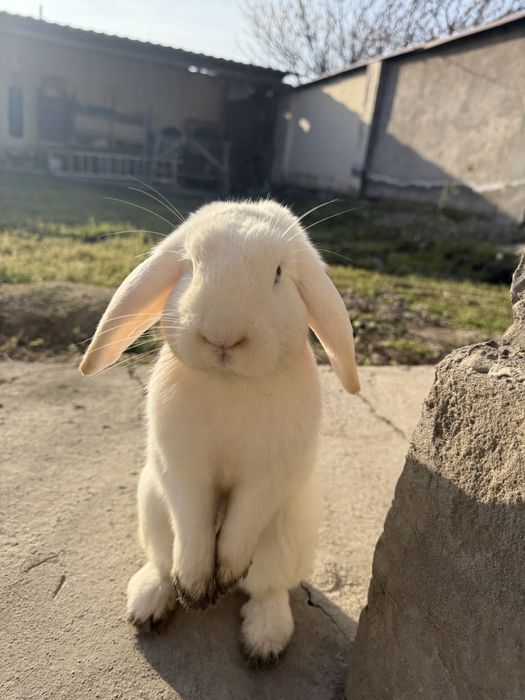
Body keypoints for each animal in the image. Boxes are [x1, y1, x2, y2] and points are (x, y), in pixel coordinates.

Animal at [79, 199, 360, 666]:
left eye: (278, 273)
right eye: (190, 265)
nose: (223, 335)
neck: (231, 383)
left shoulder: (266, 477)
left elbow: (239, 527)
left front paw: (222, 578)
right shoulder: (182, 470)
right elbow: (193, 527)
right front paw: (195, 591)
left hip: (288, 539)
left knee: (267, 588)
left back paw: (264, 643)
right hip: (153, 511)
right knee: (163, 562)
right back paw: (149, 604)